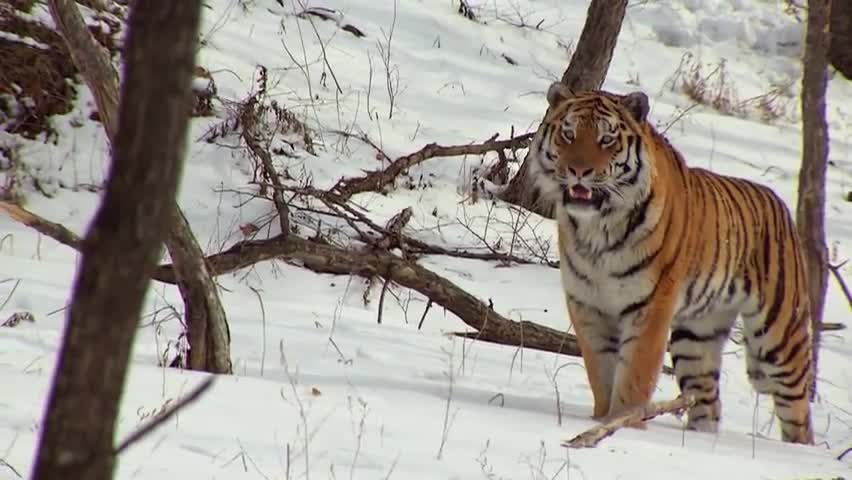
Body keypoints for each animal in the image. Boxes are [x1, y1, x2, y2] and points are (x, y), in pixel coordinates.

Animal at [528, 81, 815, 444]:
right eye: (568, 134)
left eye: (606, 139)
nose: (579, 170)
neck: (596, 228)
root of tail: (779, 204)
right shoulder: (587, 303)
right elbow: (600, 372)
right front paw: (599, 420)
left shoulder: (650, 305)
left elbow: (634, 375)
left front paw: (623, 425)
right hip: (696, 336)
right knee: (707, 402)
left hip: (779, 338)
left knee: (798, 413)